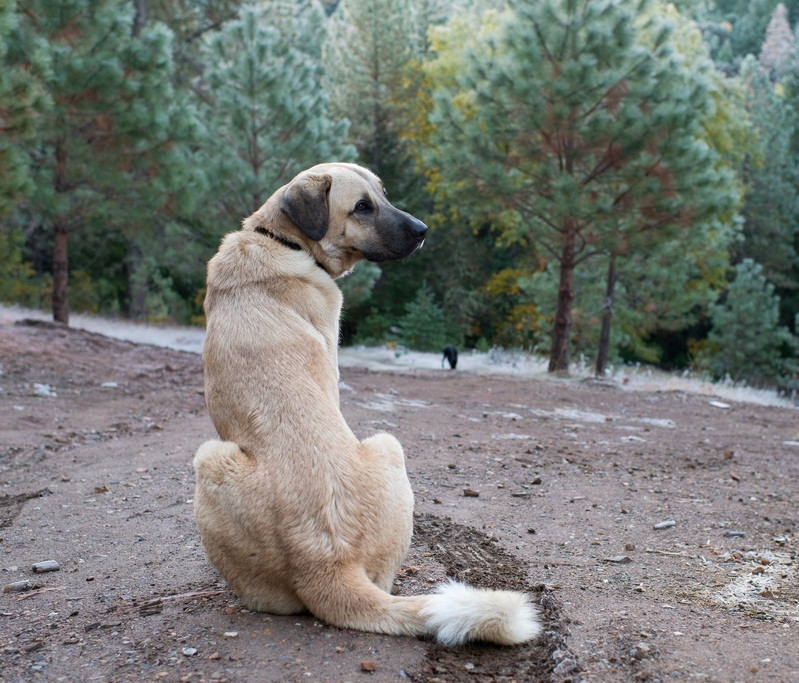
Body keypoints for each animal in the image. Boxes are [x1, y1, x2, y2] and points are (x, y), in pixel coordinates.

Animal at [195, 162, 544, 648]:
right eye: (361, 206)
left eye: (383, 193)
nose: (423, 231)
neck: (280, 240)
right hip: (371, 445)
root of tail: (328, 561)